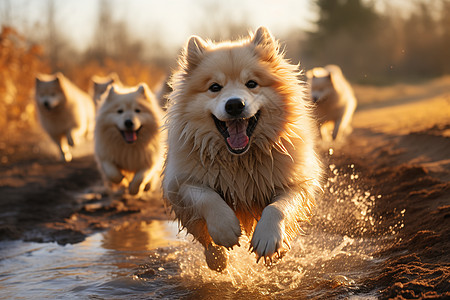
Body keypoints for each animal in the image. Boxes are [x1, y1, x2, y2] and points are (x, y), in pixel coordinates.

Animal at [163, 27, 322, 272]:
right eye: (215, 87)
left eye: (251, 83)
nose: (235, 104)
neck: (239, 160)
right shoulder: (180, 183)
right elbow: (206, 197)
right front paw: (225, 228)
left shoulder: (296, 182)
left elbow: (278, 207)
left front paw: (268, 239)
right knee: (206, 240)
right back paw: (217, 259)